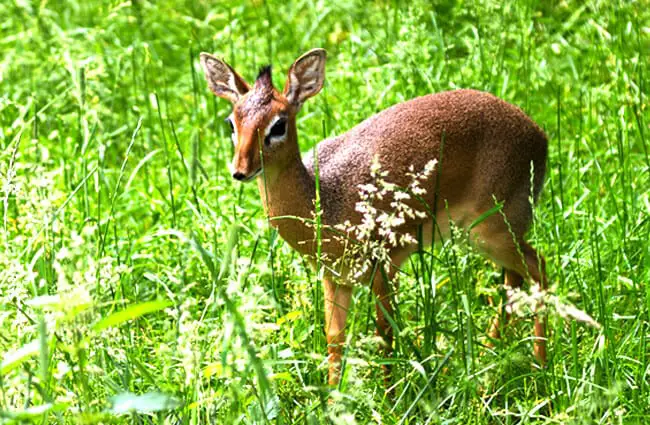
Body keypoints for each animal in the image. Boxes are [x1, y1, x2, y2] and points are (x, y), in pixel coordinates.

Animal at [197, 48, 548, 386]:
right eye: (231, 122)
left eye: (279, 124)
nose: (240, 170)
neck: (325, 199)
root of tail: (540, 135)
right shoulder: (335, 278)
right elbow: (335, 338)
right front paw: (333, 395)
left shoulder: (385, 266)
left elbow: (385, 333)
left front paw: (389, 396)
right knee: (514, 281)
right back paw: (488, 364)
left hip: (491, 230)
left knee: (538, 268)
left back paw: (538, 367)